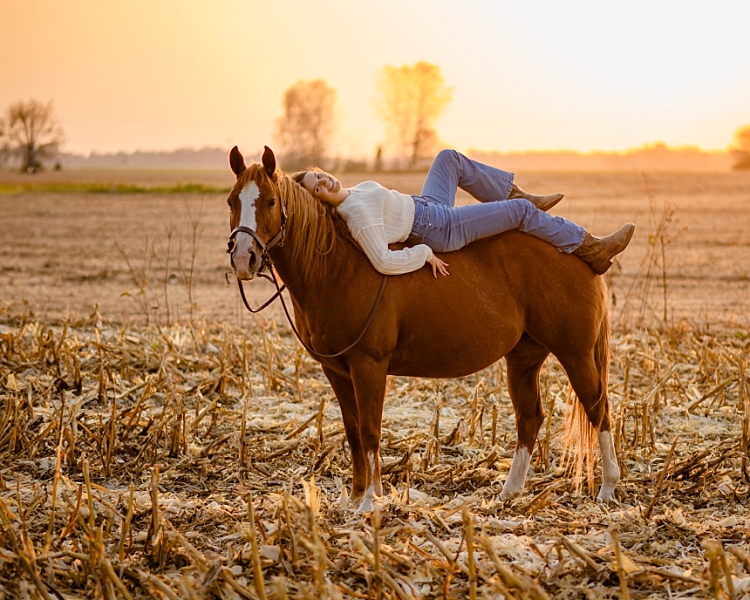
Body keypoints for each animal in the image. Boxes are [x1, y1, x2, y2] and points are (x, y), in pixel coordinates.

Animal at [229, 145, 624, 510]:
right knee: (530, 417)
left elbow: (370, 431)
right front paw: (355, 498)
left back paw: (607, 488)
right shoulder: (336, 371)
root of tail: (584, 261)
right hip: (524, 358)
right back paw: (508, 494)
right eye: (233, 201)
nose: (243, 258)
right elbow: (354, 431)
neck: (337, 268)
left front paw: (371, 501)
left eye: (269, 201)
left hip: (575, 354)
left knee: (598, 409)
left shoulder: (369, 366)